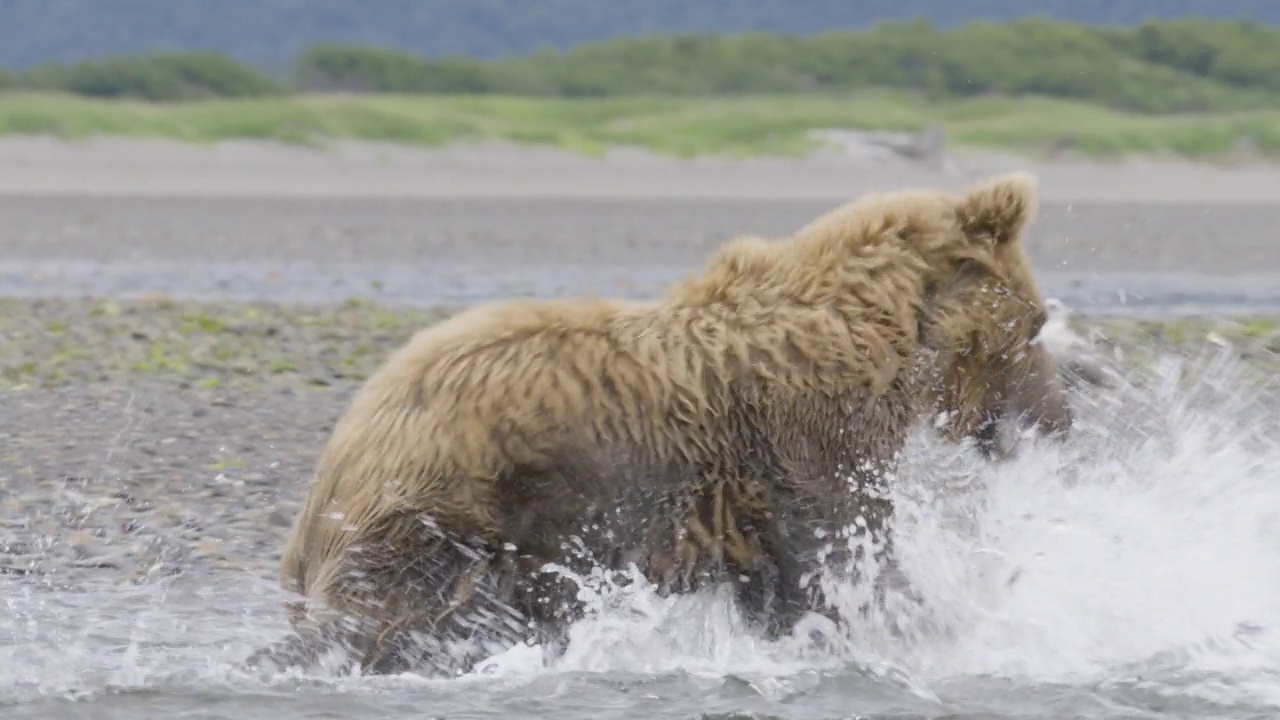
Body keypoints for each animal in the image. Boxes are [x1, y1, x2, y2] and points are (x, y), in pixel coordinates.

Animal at [267, 170, 1070, 676]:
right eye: (1036, 324)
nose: (1060, 421)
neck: (887, 342)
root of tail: (351, 429)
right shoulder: (809, 440)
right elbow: (846, 559)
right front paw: (941, 628)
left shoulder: (756, 498)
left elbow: (790, 587)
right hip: (452, 511)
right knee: (395, 611)